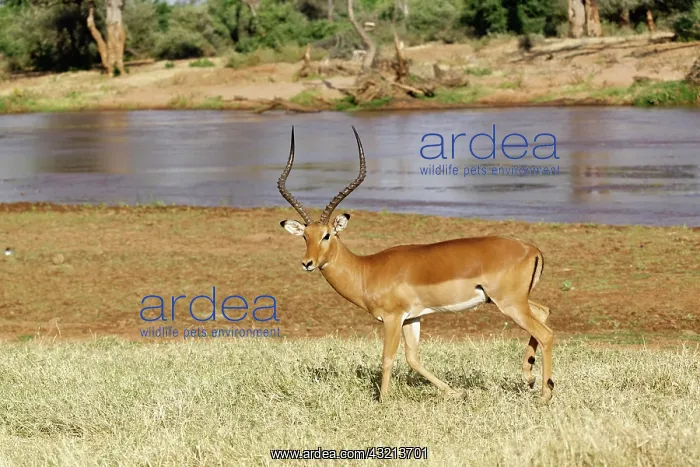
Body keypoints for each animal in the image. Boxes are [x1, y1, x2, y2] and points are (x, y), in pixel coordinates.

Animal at [278, 127, 555, 402]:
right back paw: (530, 378)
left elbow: (387, 358)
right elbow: (413, 358)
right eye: (305, 236)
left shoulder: (392, 318)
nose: (307, 263)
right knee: (543, 313)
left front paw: (383, 400)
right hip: (511, 301)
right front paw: (455, 392)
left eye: (327, 235)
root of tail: (532, 249)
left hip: (509, 303)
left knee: (546, 333)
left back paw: (545, 393)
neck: (367, 270)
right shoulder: (413, 318)